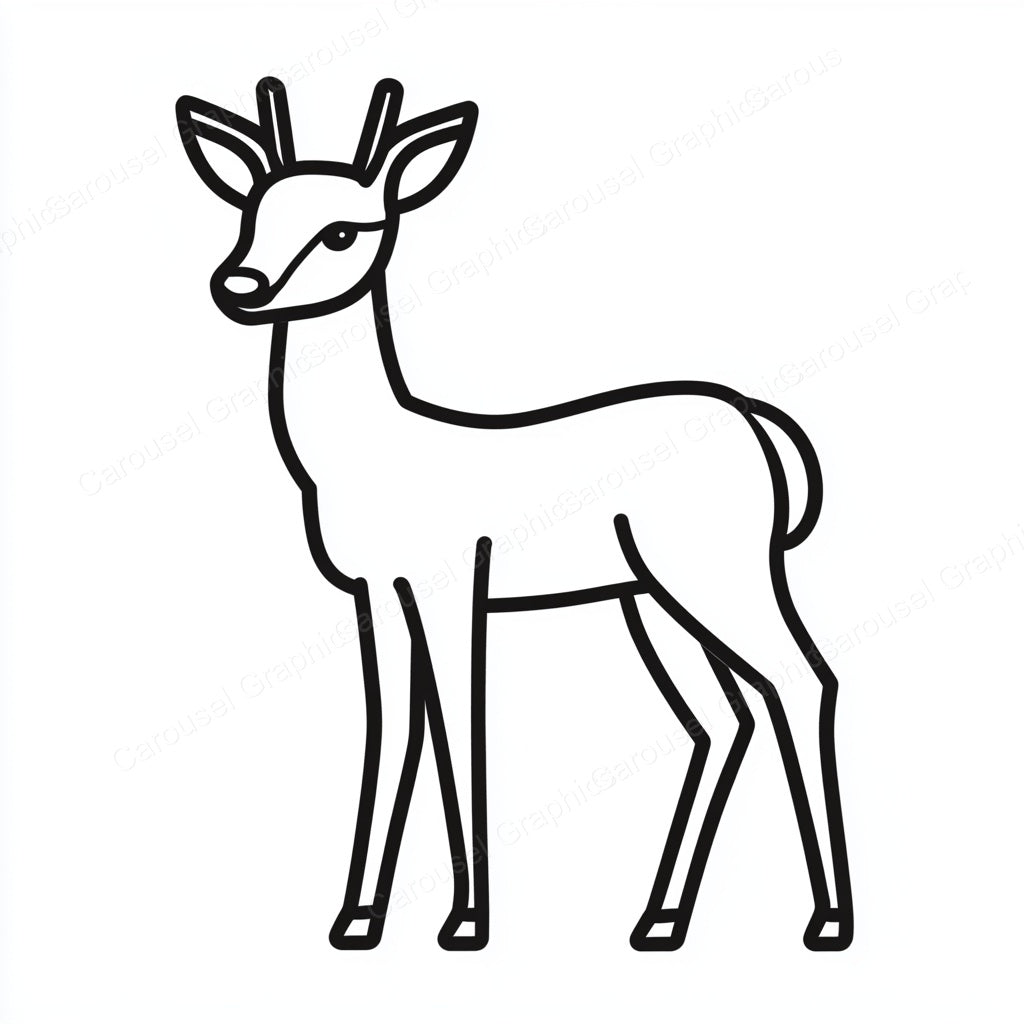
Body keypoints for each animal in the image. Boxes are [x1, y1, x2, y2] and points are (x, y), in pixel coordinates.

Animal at [175, 76, 853, 953]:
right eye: (251, 212)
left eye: (342, 231)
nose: (240, 285)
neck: (368, 451)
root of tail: (755, 420)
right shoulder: (375, 592)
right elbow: (392, 727)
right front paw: (358, 920)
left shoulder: (454, 581)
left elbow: (459, 725)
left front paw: (465, 923)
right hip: (650, 600)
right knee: (723, 718)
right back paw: (658, 920)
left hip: (717, 574)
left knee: (803, 682)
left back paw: (826, 921)